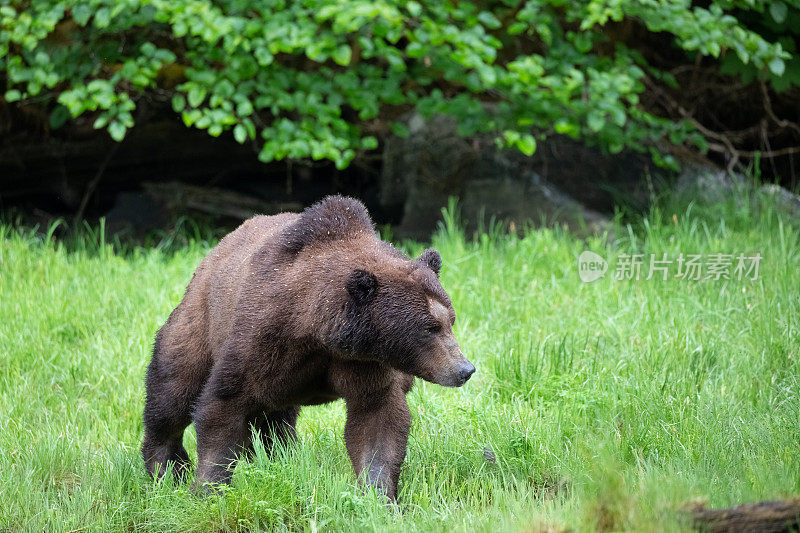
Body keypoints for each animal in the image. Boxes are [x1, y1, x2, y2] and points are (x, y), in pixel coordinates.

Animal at [141, 194, 472, 498]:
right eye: (429, 328)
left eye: (450, 320)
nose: (464, 369)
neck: (316, 331)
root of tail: (214, 252)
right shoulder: (261, 337)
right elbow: (222, 404)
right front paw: (208, 489)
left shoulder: (364, 364)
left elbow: (377, 419)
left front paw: (379, 495)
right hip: (200, 319)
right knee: (174, 388)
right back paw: (165, 467)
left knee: (274, 420)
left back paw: (279, 456)